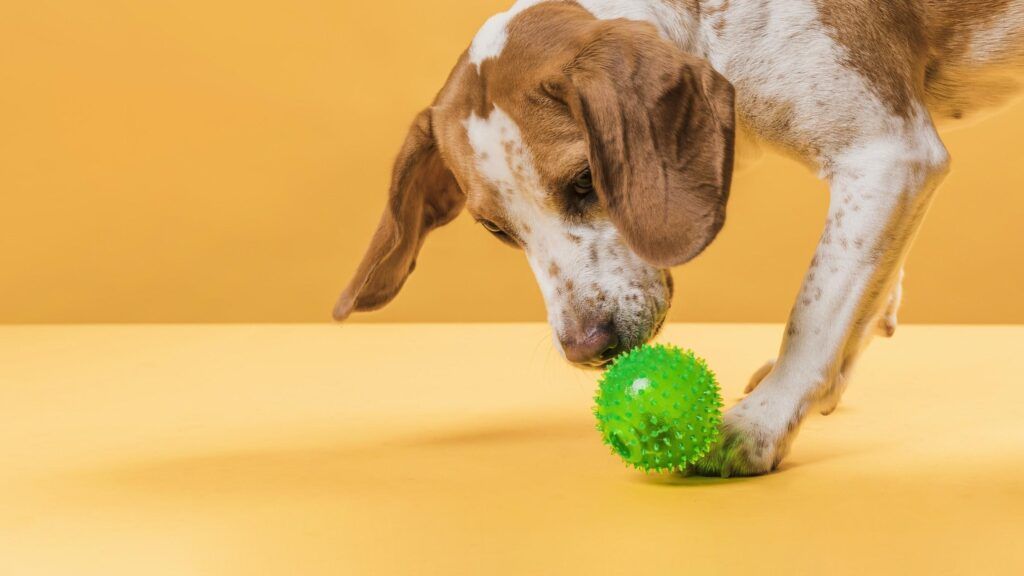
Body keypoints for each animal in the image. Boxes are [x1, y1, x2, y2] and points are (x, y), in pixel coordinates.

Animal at [335, 1, 1024, 475]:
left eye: (585, 181)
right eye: (496, 228)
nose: (585, 347)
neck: (710, 20)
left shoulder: (887, 154)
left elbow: (817, 308)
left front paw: (762, 423)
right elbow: (862, 291)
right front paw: (825, 386)